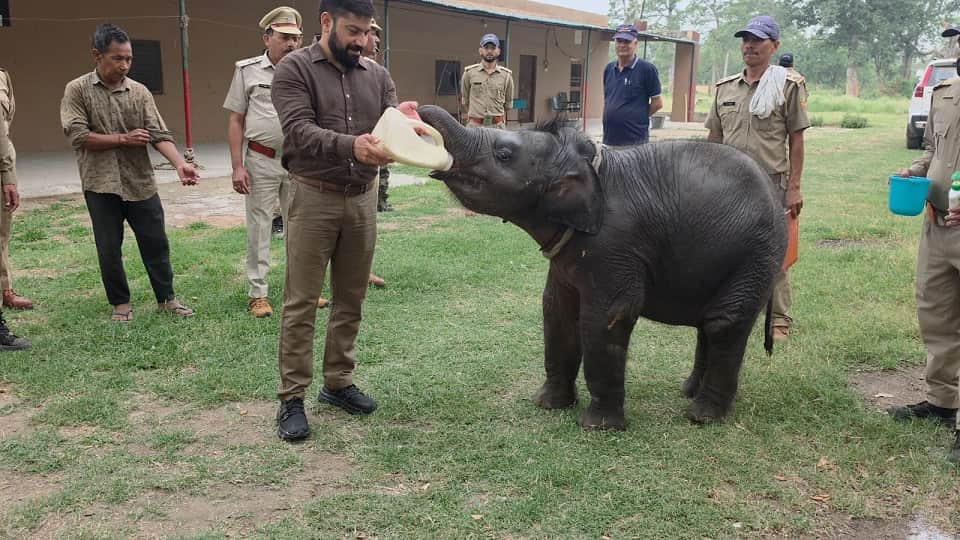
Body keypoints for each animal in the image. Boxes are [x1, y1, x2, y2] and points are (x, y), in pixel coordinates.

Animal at [417, 105, 787, 430]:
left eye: (504, 154)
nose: (416, 113)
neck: (588, 162)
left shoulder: (615, 245)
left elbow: (605, 318)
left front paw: (597, 426)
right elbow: (556, 311)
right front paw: (548, 405)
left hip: (755, 257)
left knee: (724, 323)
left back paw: (701, 415)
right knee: (707, 325)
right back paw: (689, 392)